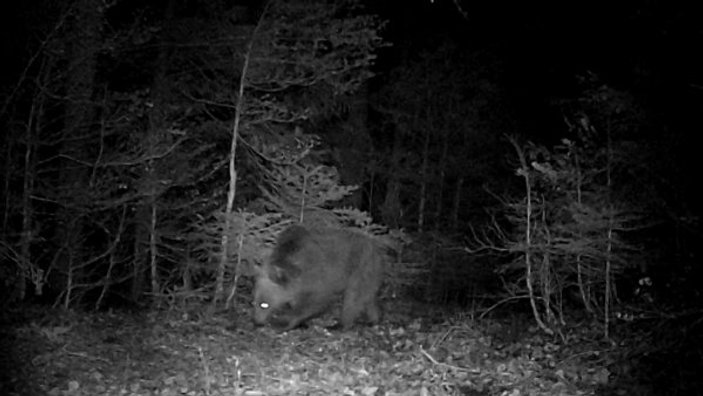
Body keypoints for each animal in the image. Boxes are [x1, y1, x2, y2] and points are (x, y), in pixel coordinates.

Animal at [252, 224, 384, 330]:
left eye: (264, 304)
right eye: (254, 302)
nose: (257, 322)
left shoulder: (318, 276)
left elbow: (315, 302)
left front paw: (286, 322)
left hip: (360, 267)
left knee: (353, 297)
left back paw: (341, 324)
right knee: (367, 297)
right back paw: (373, 319)